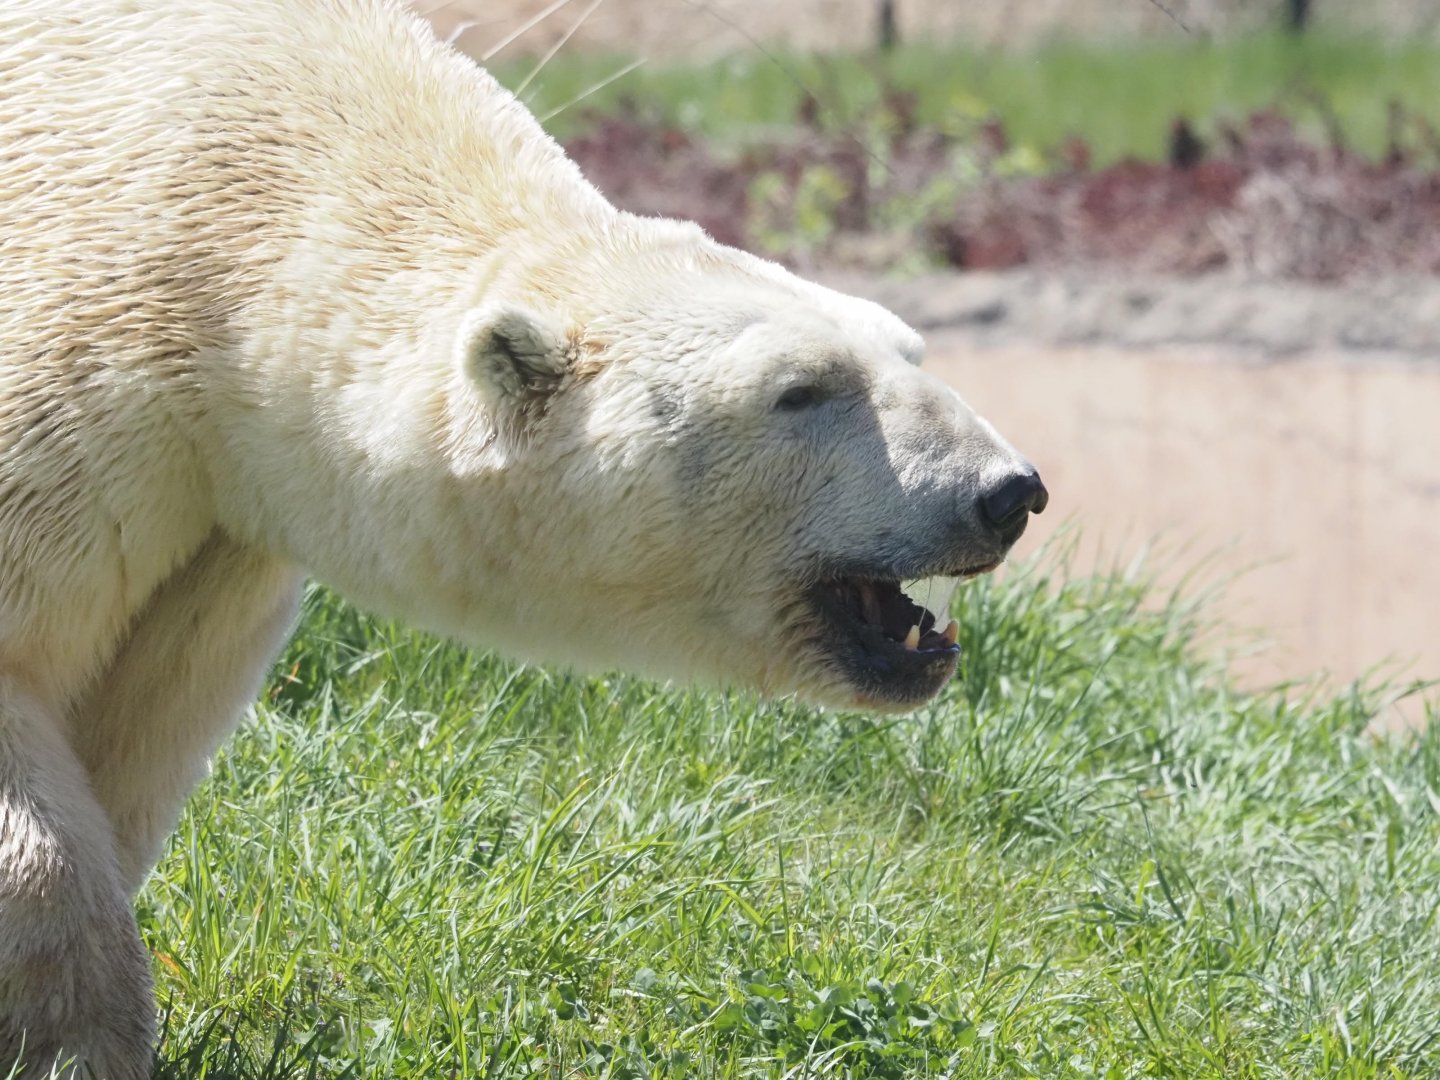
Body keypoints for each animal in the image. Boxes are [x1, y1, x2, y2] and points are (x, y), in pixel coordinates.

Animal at [0, 0, 1048, 1075]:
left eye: (909, 348)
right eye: (800, 390)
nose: (1007, 493)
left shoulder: (216, 529)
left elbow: (144, 722)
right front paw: (78, 1039)